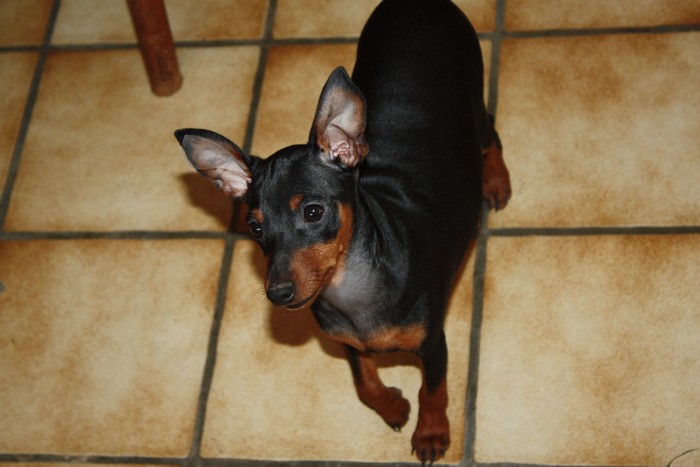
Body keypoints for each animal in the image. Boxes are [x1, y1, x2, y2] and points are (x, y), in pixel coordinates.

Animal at [175, 0, 510, 462]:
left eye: (314, 212)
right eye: (255, 227)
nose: (279, 293)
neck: (352, 287)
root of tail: (417, 3)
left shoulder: (433, 344)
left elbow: (433, 390)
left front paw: (431, 433)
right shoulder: (347, 343)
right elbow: (363, 383)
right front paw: (391, 405)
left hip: (472, 104)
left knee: (490, 131)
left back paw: (495, 180)